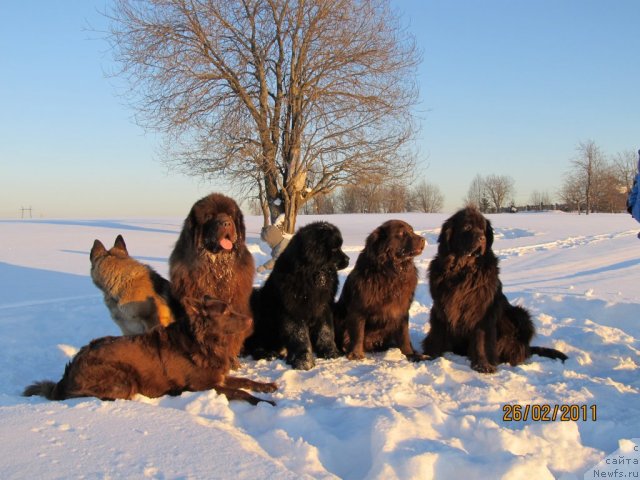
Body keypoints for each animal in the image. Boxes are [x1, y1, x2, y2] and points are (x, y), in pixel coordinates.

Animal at [242, 222, 348, 372]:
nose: (348, 259)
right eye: (334, 248)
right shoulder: (293, 310)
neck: (311, 277)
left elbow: (326, 331)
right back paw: (268, 353)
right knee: (256, 345)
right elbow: (299, 336)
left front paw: (331, 353)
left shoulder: (323, 306)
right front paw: (303, 361)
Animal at [336, 220, 424, 360]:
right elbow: (358, 333)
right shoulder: (358, 308)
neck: (390, 272)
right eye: (401, 233)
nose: (423, 239)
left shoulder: (402, 309)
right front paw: (356, 354)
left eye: (411, 230)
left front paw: (409, 353)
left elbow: (404, 335)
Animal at [422, 204, 568, 374]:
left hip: (520, 314)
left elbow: (481, 339)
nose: (482, 239)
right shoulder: (440, 307)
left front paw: (483, 365)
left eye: (483, 229)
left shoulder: (483, 311)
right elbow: (437, 334)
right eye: (467, 227)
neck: (463, 270)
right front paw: (430, 355)